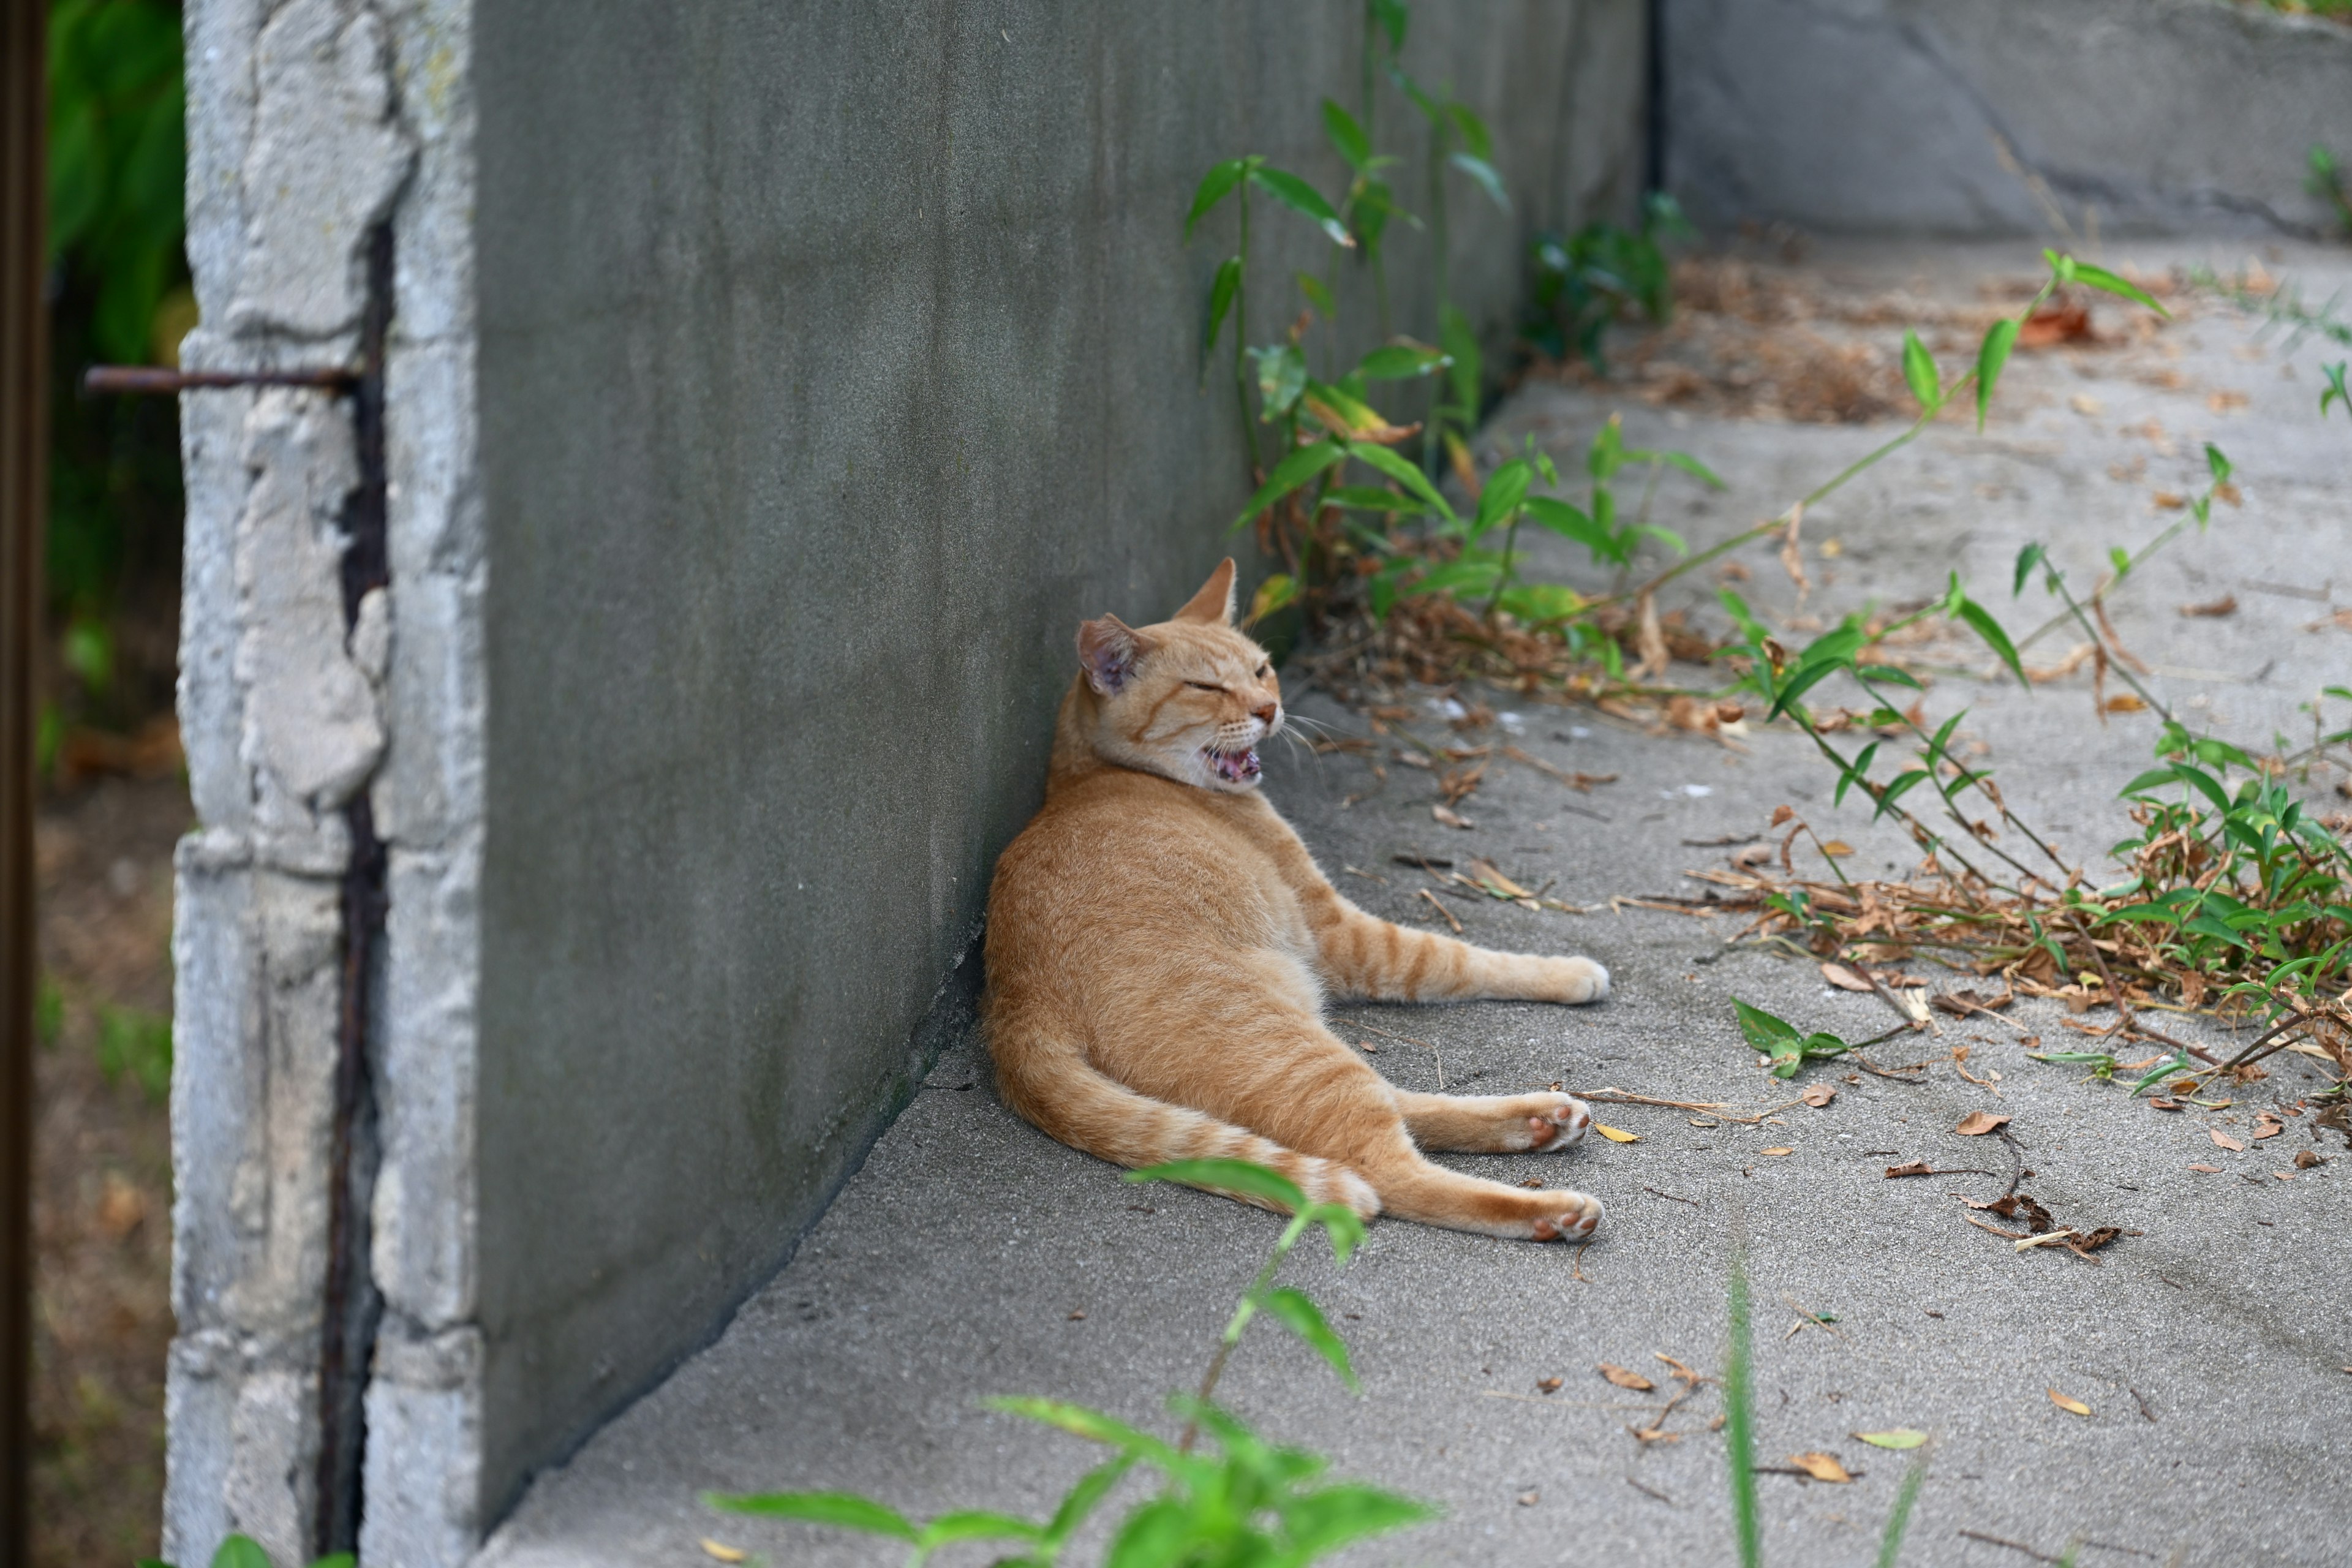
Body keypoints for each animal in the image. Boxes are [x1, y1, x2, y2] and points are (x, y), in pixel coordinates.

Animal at [978, 562, 1618, 1241]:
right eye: (1206, 687)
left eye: (1261, 670)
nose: (1268, 709)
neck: (1087, 774)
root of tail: (1016, 1008)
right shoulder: (1342, 932)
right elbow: (1461, 957)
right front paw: (1569, 972)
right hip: (1292, 1046)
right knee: (1388, 1169)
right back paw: (1552, 1209)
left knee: (1394, 1107)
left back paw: (1539, 1118)